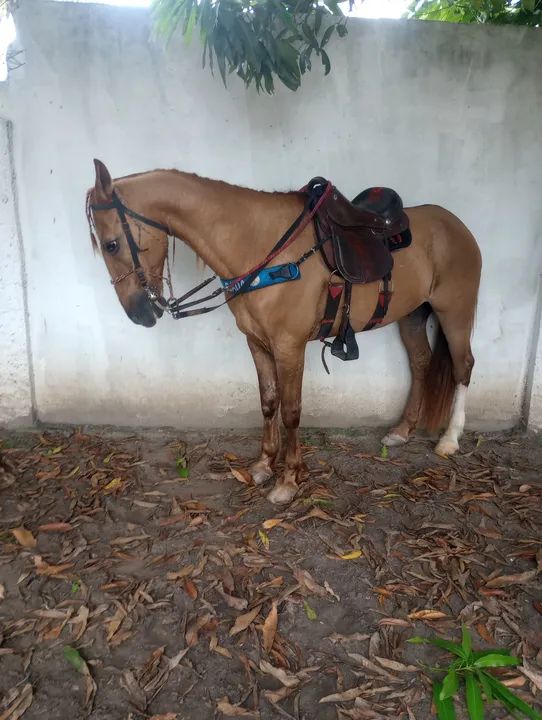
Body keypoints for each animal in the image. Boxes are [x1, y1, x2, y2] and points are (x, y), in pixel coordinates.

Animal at [86, 159, 481, 504]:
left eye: (111, 244)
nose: (139, 313)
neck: (260, 246)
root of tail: (456, 225)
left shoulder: (289, 346)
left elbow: (291, 410)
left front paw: (288, 481)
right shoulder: (257, 342)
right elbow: (268, 401)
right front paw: (263, 466)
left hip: (455, 312)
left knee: (463, 366)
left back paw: (449, 439)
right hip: (412, 315)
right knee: (420, 362)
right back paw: (402, 431)